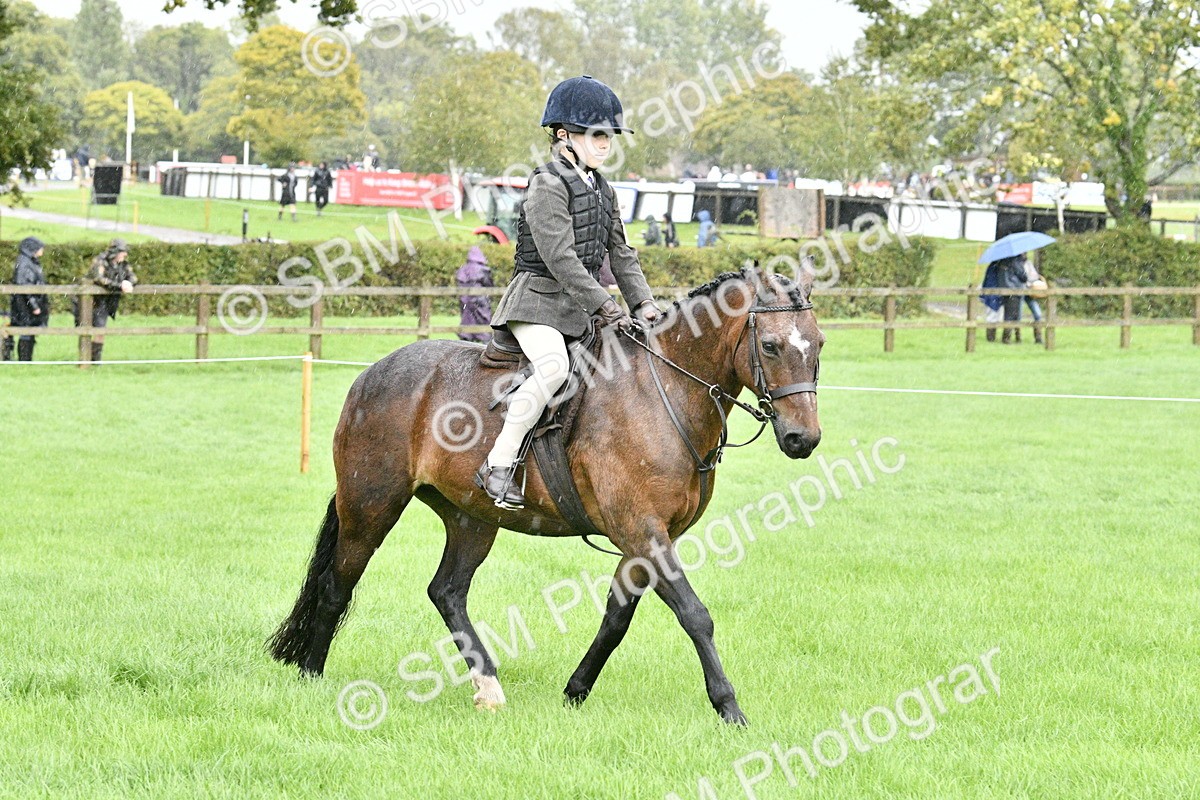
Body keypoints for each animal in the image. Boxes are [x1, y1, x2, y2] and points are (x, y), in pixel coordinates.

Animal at [267, 265, 824, 725]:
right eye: (770, 347)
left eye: (817, 344)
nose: (804, 439)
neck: (664, 389)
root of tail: (370, 374)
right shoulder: (643, 531)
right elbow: (695, 615)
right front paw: (729, 707)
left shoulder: (641, 540)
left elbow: (616, 619)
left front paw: (575, 692)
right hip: (371, 506)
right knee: (337, 585)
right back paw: (312, 674)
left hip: (471, 518)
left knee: (447, 591)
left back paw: (488, 686)